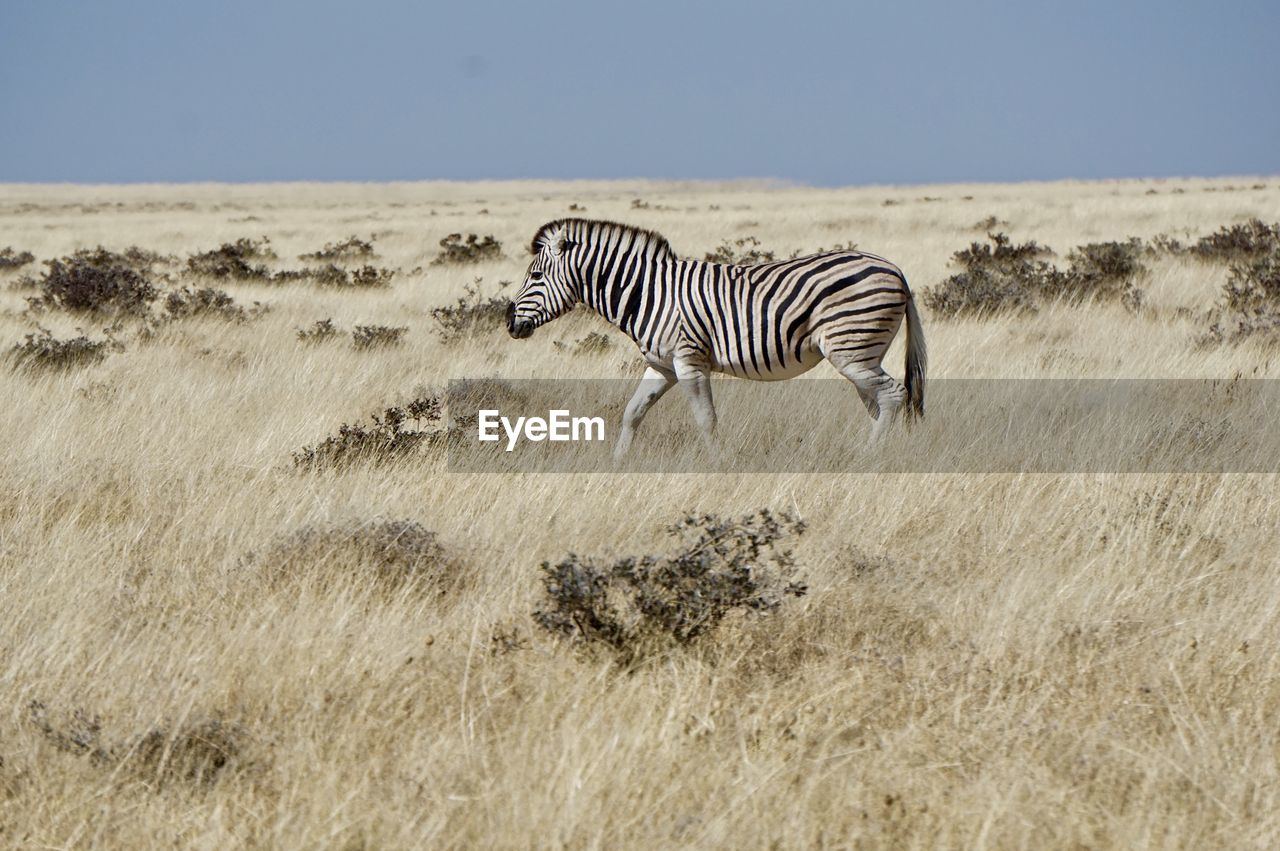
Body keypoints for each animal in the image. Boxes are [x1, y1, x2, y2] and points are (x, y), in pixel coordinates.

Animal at [501, 218, 931, 458]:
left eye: (535, 277)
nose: (507, 322)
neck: (649, 293)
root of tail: (896, 271)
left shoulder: (689, 360)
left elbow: (706, 419)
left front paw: (718, 463)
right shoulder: (661, 365)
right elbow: (632, 412)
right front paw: (617, 463)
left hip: (852, 349)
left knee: (894, 394)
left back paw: (869, 455)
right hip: (862, 353)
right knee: (881, 403)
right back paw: (888, 453)